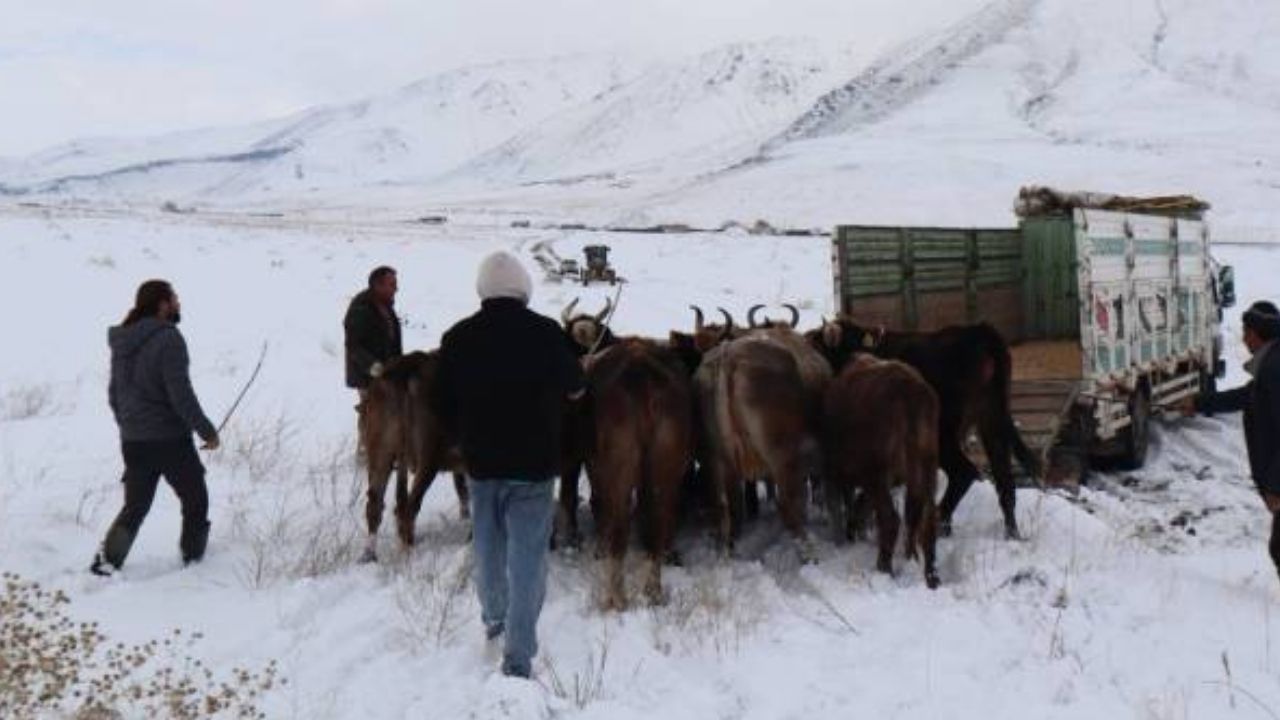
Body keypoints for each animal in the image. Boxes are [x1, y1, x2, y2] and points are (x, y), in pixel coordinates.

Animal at [360, 348, 471, 561]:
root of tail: (407, 366)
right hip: (429, 455)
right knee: (408, 509)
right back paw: (408, 554)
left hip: (380, 451)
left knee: (376, 505)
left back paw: (369, 556)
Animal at [583, 335, 696, 604]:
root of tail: (642, 376)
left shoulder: (595, 467)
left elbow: (598, 504)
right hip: (666, 462)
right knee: (658, 518)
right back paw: (653, 591)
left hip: (618, 465)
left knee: (619, 522)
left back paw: (616, 598)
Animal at [808, 316, 1039, 535]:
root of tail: (980, 333)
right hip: (992, 420)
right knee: (1004, 481)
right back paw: (1011, 533)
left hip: (945, 434)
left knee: (964, 472)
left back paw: (940, 523)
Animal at [819, 351, 942, 584]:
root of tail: (911, 390)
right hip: (927, 469)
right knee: (926, 520)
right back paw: (930, 576)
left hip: (877, 472)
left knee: (891, 519)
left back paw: (884, 568)